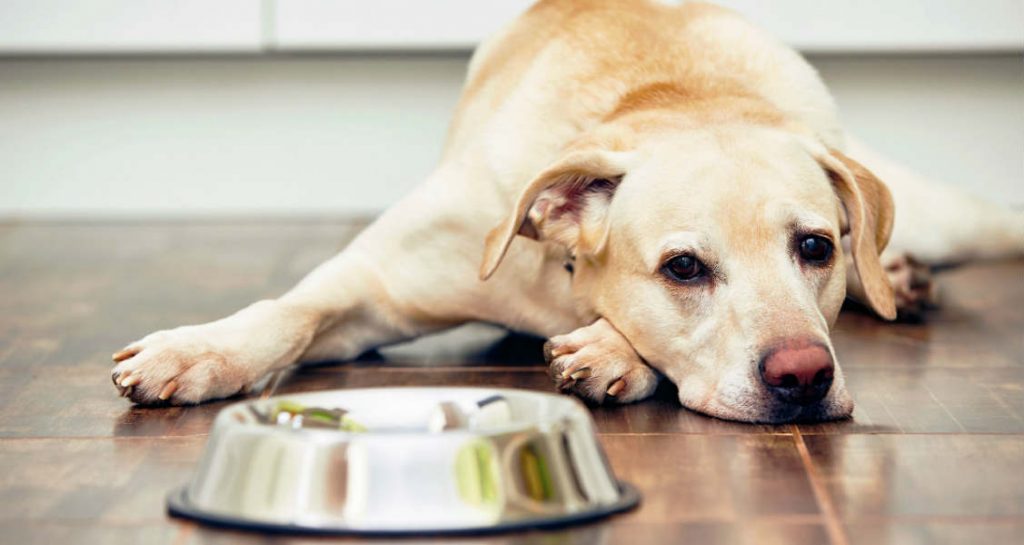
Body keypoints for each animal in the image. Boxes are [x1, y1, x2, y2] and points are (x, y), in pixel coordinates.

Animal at [105, 1, 1024, 422]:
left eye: (816, 247)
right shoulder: (374, 283)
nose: (804, 377)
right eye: (684, 267)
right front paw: (199, 350)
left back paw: (900, 273)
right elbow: (289, 309)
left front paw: (609, 349)